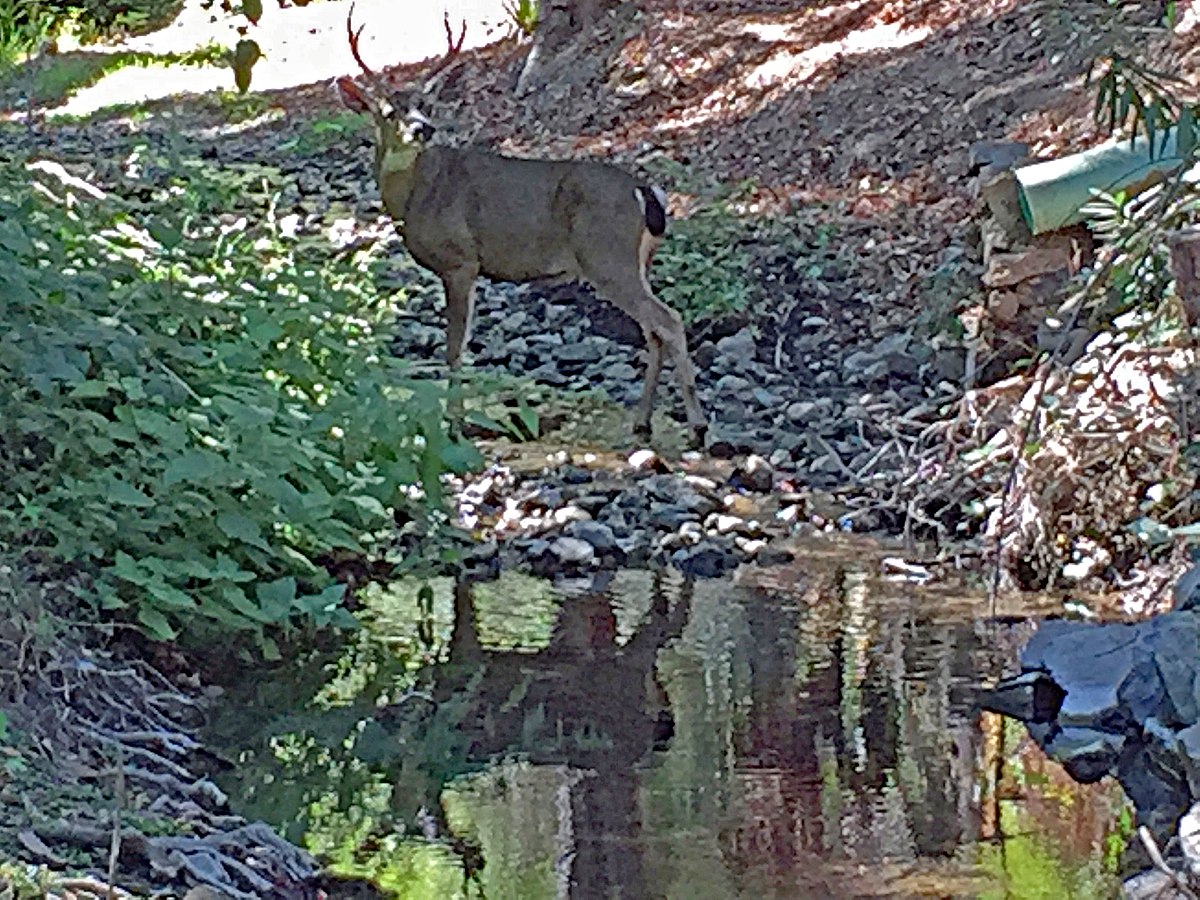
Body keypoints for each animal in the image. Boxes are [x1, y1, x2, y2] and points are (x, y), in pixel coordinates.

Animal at [333, 4, 705, 448]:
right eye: (391, 112)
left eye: (428, 105)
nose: (424, 128)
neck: (414, 196)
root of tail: (644, 191)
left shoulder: (460, 260)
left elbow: (454, 348)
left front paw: (454, 425)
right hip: (635, 262)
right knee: (653, 330)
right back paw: (643, 422)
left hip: (606, 254)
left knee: (668, 321)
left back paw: (698, 428)